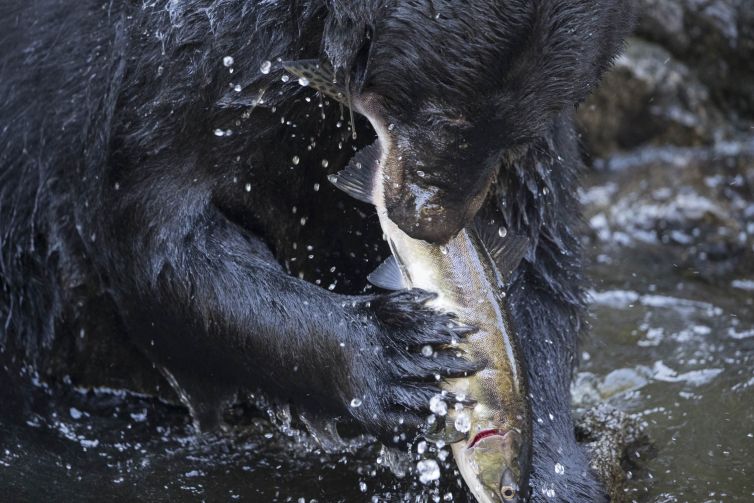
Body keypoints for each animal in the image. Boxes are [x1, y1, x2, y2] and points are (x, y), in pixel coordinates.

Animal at [0, 1, 632, 502]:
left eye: (514, 135)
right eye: (443, 114)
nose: (426, 226)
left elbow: (538, 251)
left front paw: (554, 473)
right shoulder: (204, 53)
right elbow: (161, 229)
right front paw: (394, 357)